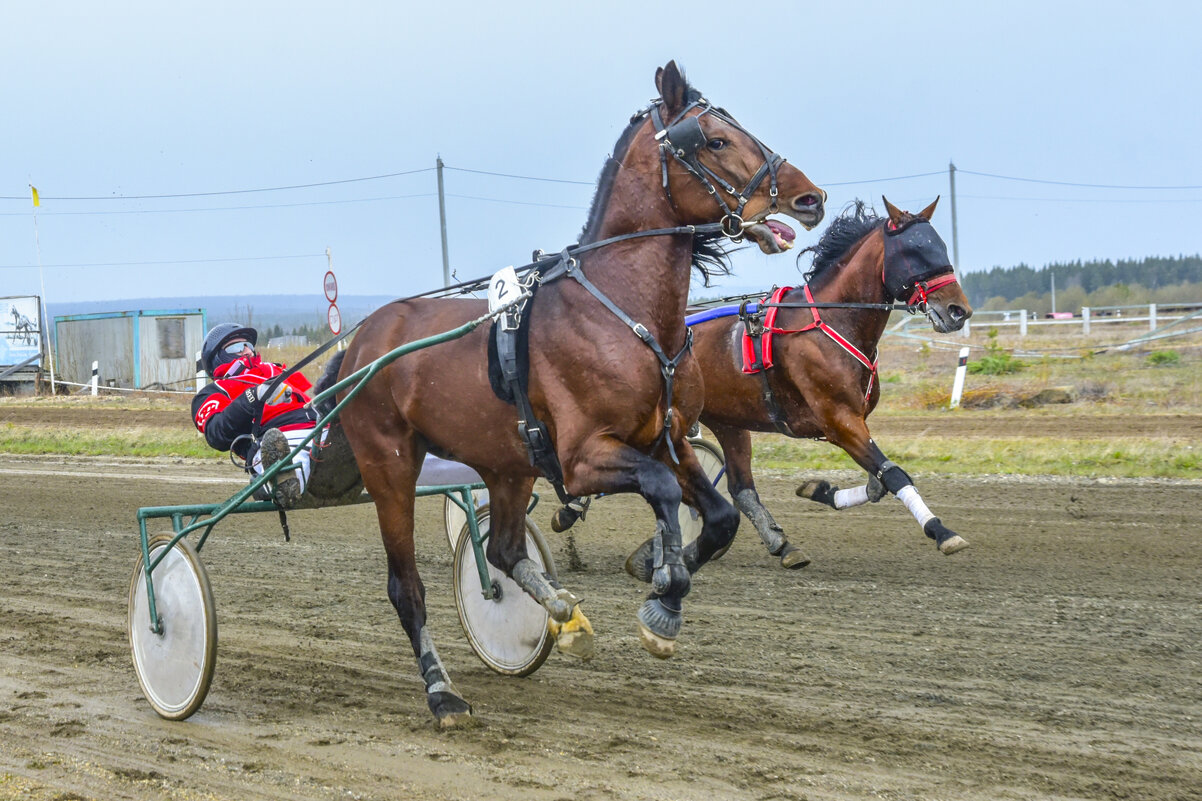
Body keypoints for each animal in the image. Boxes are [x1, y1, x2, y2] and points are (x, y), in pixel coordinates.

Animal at [329, 62, 826, 721]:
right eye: (715, 140)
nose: (810, 198)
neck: (620, 311)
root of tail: (362, 339)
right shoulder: (582, 457)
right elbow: (662, 489)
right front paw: (665, 591)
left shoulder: (667, 437)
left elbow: (718, 516)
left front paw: (661, 589)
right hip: (389, 466)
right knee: (406, 587)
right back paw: (442, 691)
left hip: (508, 464)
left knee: (504, 550)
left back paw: (564, 614)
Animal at [625, 196, 971, 577]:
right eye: (915, 250)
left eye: (941, 246)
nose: (959, 311)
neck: (833, 320)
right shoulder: (839, 419)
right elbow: (894, 475)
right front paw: (941, 531)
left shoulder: (854, 421)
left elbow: (877, 483)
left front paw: (820, 490)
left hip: (728, 421)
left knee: (741, 488)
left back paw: (779, 544)